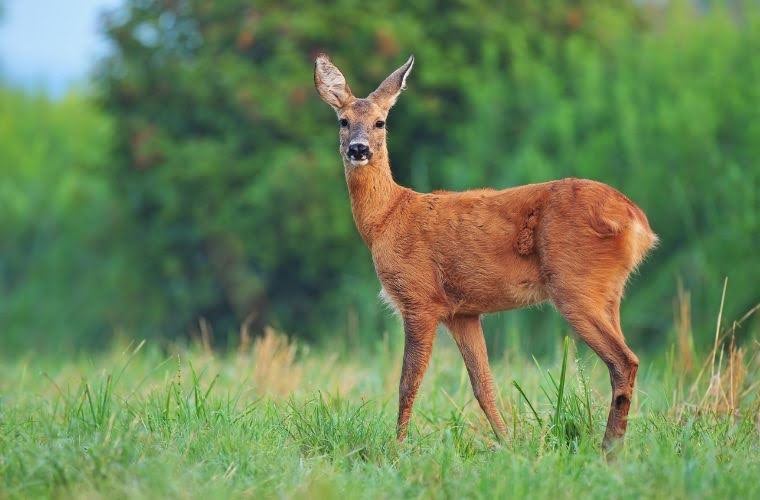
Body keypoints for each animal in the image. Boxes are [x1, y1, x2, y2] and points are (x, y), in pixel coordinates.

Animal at [312, 52, 656, 452]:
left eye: (380, 122)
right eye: (343, 121)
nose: (359, 148)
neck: (387, 217)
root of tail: (637, 221)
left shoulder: (419, 298)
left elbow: (407, 383)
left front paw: (397, 448)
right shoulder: (463, 312)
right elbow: (484, 385)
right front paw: (508, 444)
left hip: (575, 283)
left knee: (624, 360)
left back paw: (609, 449)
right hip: (609, 291)